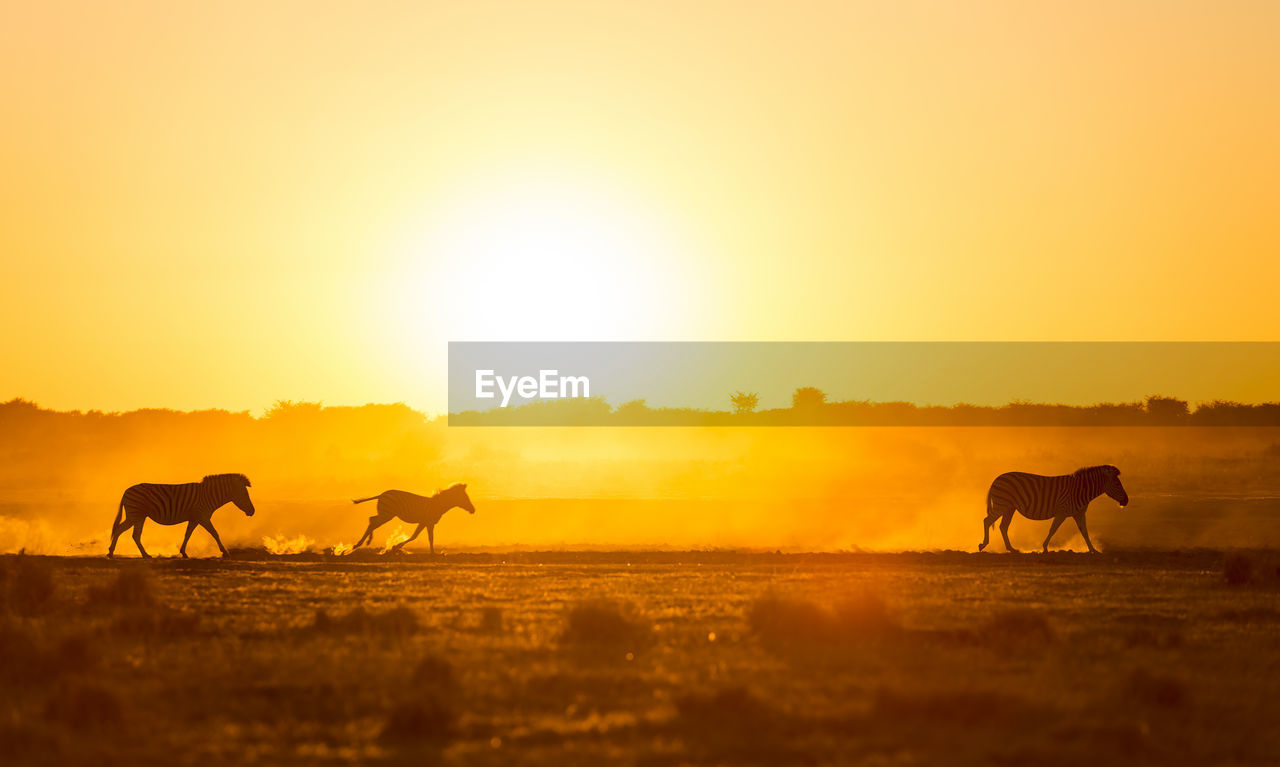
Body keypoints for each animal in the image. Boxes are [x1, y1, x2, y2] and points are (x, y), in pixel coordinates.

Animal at [109, 473, 254, 558]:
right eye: (245, 495)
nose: (253, 511)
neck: (209, 496)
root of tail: (126, 491)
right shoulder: (203, 516)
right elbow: (215, 533)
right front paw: (225, 552)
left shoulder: (195, 518)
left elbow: (187, 534)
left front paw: (183, 552)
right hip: (135, 515)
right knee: (124, 531)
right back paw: (115, 552)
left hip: (138, 516)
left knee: (132, 534)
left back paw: (140, 554)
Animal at [977, 466, 1131, 555]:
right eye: (1117, 484)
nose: (1126, 501)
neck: (1081, 490)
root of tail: (996, 479)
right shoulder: (1062, 512)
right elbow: (1053, 529)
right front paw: (1045, 548)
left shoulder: (1079, 513)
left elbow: (1085, 532)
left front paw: (1093, 550)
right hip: (1002, 505)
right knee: (987, 521)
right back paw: (983, 545)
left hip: (1009, 508)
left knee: (1003, 526)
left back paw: (1012, 549)